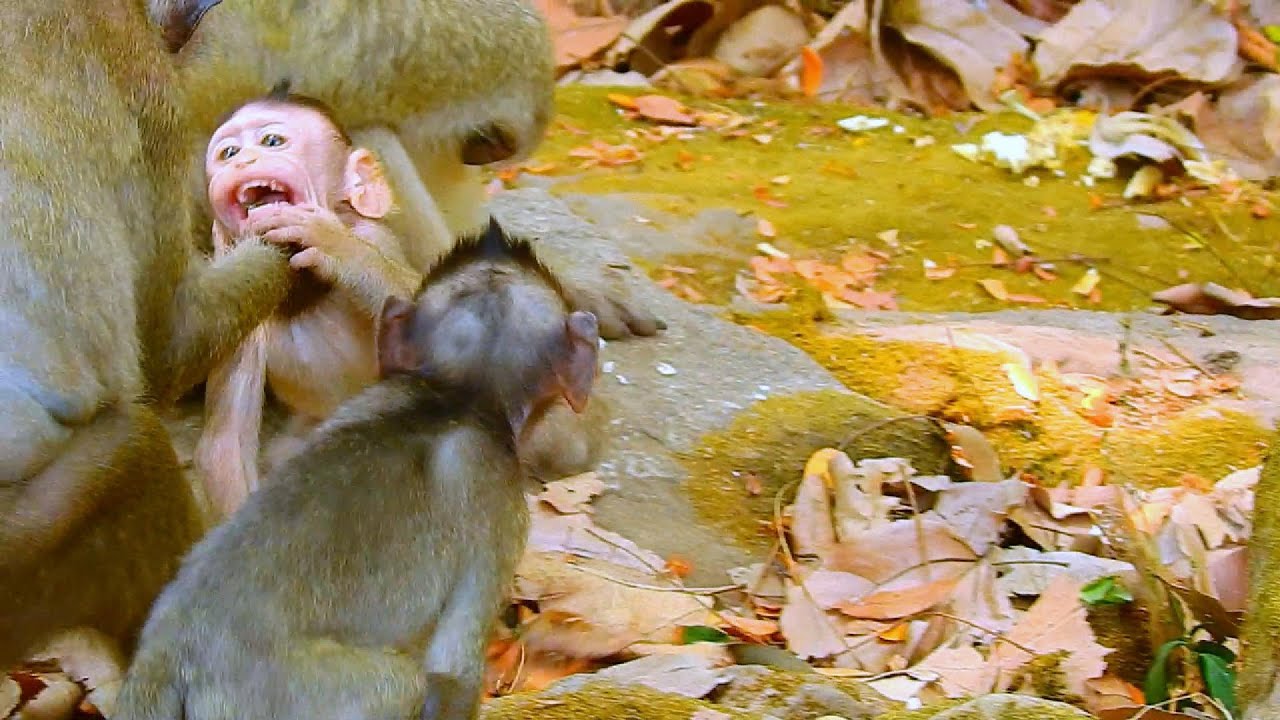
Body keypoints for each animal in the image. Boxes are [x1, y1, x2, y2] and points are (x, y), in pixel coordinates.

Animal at [113, 218, 601, 720]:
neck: (460, 393)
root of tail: (169, 655)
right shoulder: (499, 503)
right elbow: (452, 672)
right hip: (294, 694)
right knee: (403, 685)